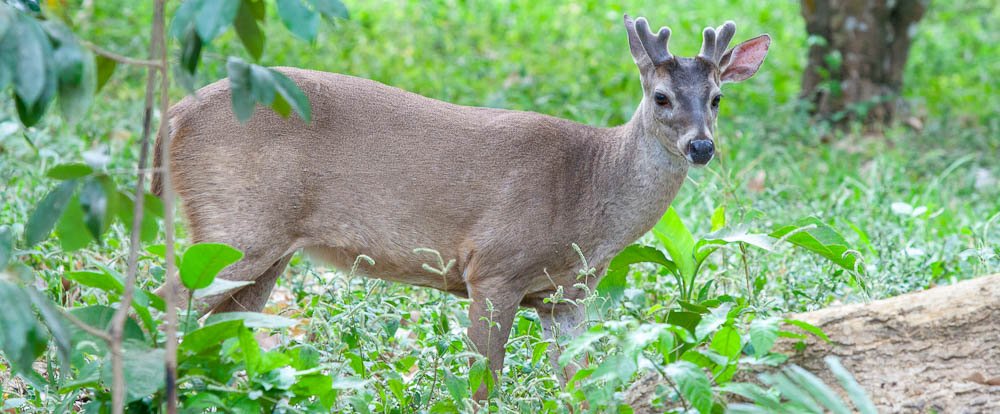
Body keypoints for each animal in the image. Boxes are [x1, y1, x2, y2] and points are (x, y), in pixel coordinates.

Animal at [152, 14, 768, 400]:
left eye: (717, 98)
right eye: (660, 97)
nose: (701, 146)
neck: (588, 189)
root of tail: (174, 115)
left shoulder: (566, 295)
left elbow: (582, 383)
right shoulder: (494, 267)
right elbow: (482, 384)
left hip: (263, 247)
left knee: (223, 326)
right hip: (234, 225)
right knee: (166, 297)